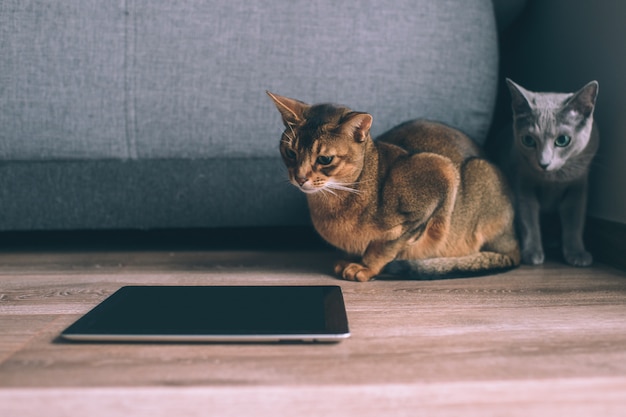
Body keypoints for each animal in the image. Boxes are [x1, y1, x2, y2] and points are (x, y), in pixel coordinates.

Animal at [266, 91, 520, 280]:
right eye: (291, 153)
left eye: (325, 159)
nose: (300, 177)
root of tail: (514, 240)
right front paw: (353, 259)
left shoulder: (440, 174)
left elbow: (385, 245)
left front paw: (366, 267)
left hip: (478, 172)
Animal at [500, 79, 596, 266]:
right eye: (528, 140)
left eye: (563, 140)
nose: (543, 163)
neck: (553, 180)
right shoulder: (523, 186)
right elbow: (528, 220)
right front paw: (532, 253)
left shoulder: (578, 188)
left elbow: (574, 222)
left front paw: (577, 253)